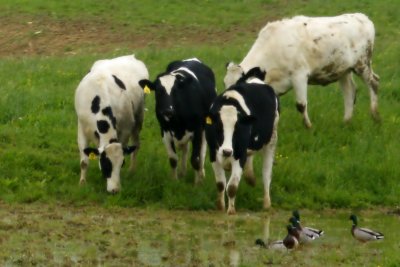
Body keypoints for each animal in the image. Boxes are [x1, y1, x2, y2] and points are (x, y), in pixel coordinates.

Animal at [74, 54, 148, 194]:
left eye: (121, 164)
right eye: (106, 164)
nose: (115, 190)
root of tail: (130, 56)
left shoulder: (125, 129)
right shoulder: (82, 128)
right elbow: (84, 161)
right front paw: (82, 183)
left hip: (139, 116)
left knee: (136, 145)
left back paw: (132, 170)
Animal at [206, 71, 278, 216]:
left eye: (237, 128)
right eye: (218, 128)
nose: (227, 151)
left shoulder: (239, 154)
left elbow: (232, 187)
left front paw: (231, 210)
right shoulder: (213, 153)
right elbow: (220, 184)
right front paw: (220, 206)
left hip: (271, 141)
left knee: (266, 175)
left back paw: (267, 204)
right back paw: (250, 178)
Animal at [225, 13, 382, 128]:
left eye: (239, 86)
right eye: (225, 85)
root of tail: (362, 17)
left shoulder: (299, 75)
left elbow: (301, 105)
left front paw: (308, 126)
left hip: (362, 63)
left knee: (373, 82)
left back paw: (375, 116)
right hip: (343, 69)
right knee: (350, 91)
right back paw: (346, 121)